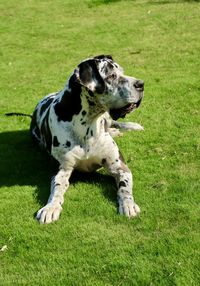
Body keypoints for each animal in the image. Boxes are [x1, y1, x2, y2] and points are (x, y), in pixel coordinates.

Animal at [30, 54, 144, 223]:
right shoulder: (62, 169)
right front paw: (51, 207)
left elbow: (125, 187)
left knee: (114, 122)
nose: (141, 84)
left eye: (122, 71)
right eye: (111, 76)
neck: (87, 125)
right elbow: (57, 188)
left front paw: (128, 204)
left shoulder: (120, 167)